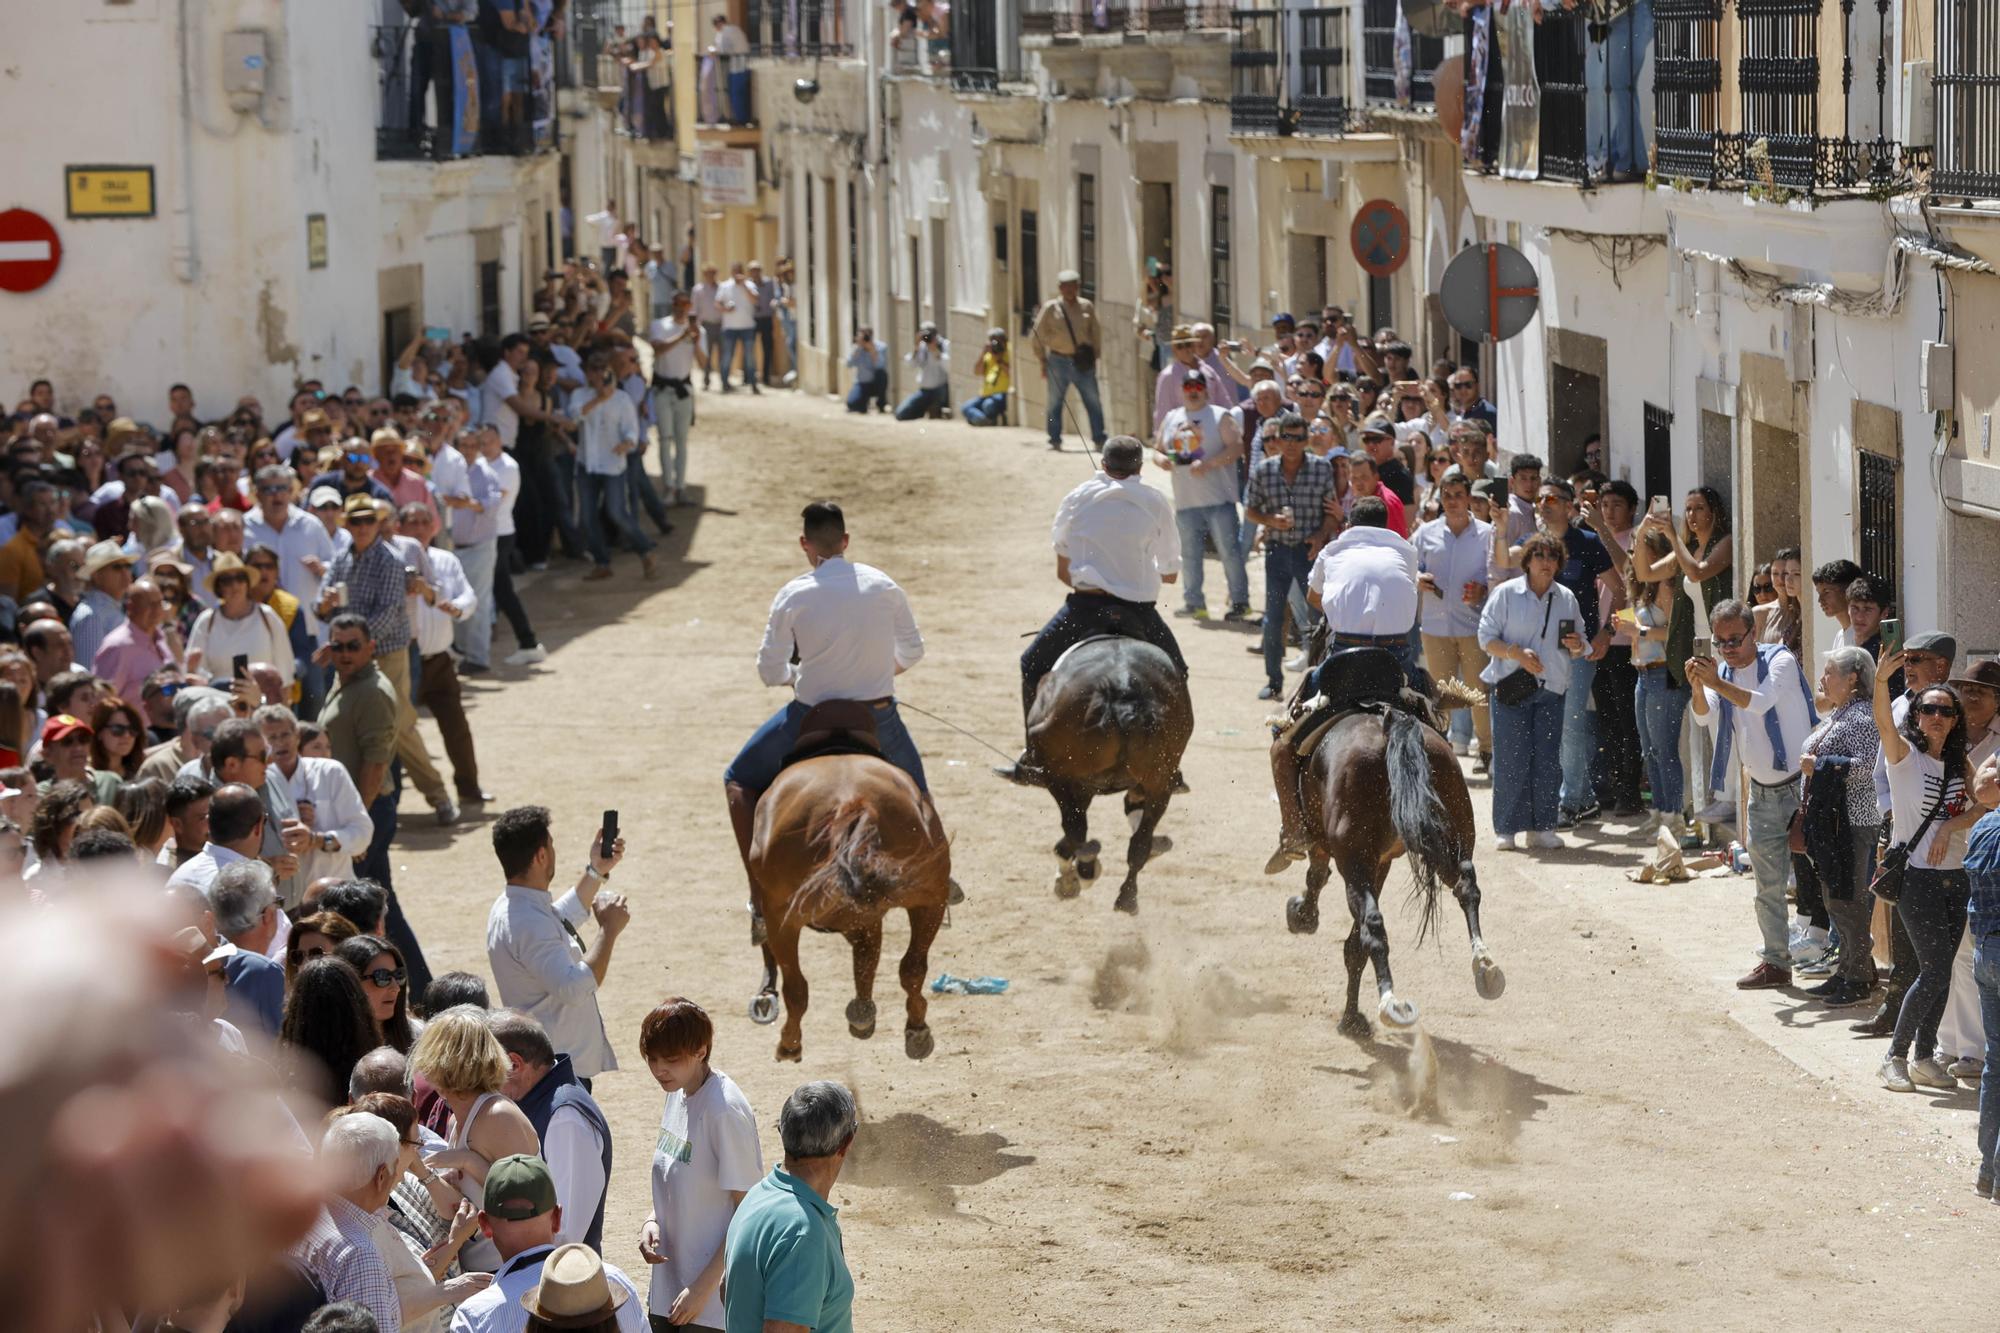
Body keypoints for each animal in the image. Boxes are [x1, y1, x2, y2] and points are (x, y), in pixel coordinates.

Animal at [752, 752, 952, 1056]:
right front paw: (863, 1014)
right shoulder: (864, 916)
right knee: (913, 967)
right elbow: (867, 958)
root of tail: (852, 802)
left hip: (781, 919)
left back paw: (789, 1044)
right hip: (930, 899)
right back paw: (915, 1030)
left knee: (796, 988)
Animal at [1024, 636, 1192, 908]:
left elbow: (1073, 829)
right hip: (1160, 781)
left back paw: (1082, 871)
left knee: (1076, 829)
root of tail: (1122, 686)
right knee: (1139, 843)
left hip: (1060, 776)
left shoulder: (1074, 785)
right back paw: (1126, 897)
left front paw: (1070, 876)